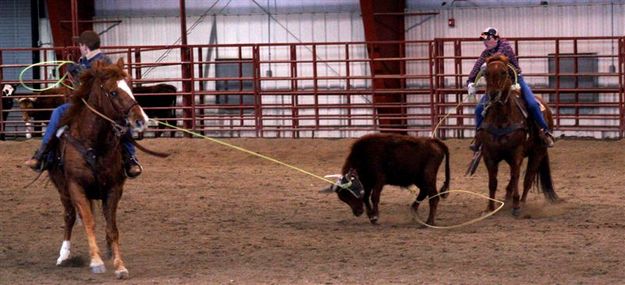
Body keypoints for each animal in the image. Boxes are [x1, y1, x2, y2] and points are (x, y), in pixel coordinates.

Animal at [48, 57, 148, 278]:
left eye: (130, 88)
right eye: (113, 92)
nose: (140, 120)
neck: (94, 143)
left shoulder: (113, 189)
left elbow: (112, 227)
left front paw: (119, 265)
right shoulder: (76, 187)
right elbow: (88, 221)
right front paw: (96, 261)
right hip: (62, 189)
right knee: (70, 216)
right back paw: (63, 255)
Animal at [476, 55, 560, 215]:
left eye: (504, 72)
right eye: (486, 73)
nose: (493, 94)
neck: (501, 119)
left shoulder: (516, 153)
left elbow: (516, 176)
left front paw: (516, 205)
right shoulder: (489, 155)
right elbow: (493, 181)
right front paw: (490, 207)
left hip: (538, 152)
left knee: (528, 178)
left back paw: (521, 202)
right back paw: (507, 197)